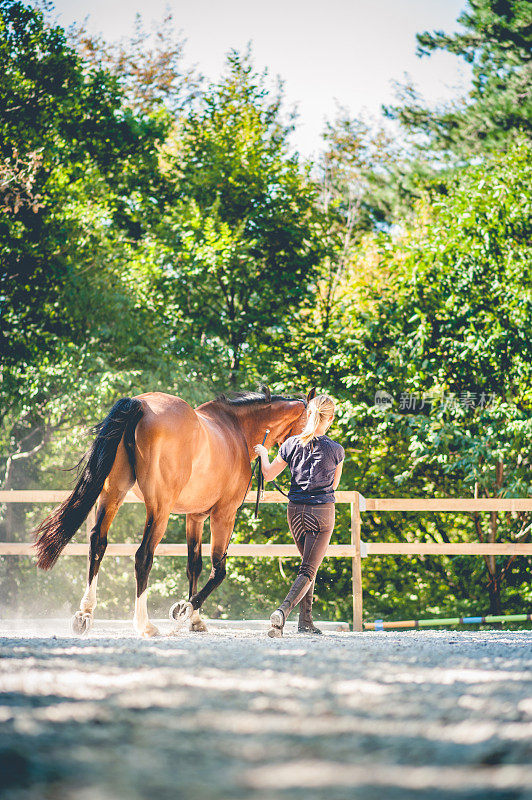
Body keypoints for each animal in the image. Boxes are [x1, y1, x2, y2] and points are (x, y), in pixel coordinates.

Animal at [34, 386, 312, 636]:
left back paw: (85, 615)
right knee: (143, 556)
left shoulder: (195, 516)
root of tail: (140, 404)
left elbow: (194, 565)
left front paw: (195, 620)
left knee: (98, 543)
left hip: (113, 495)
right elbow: (218, 570)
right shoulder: (224, 514)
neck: (237, 431)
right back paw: (144, 625)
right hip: (160, 509)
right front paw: (185, 609)